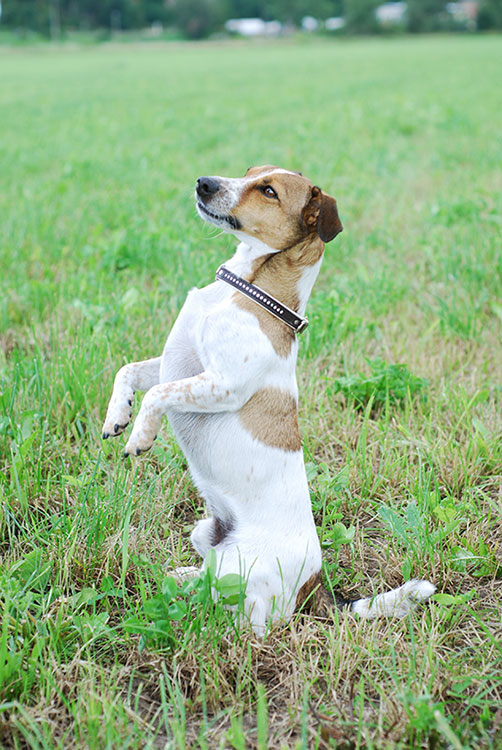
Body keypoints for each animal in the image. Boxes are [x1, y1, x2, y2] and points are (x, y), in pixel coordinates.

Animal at [102, 164, 436, 636]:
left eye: (269, 191)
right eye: (249, 172)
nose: (203, 183)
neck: (245, 287)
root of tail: (316, 588)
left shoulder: (223, 384)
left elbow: (157, 394)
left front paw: (141, 436)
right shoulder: (174, 364)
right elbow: (129, 372)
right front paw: (117, 417)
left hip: (240, 571)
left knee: (252, 623)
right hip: (203, 531)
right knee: (204, 574)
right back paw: (183, 578)